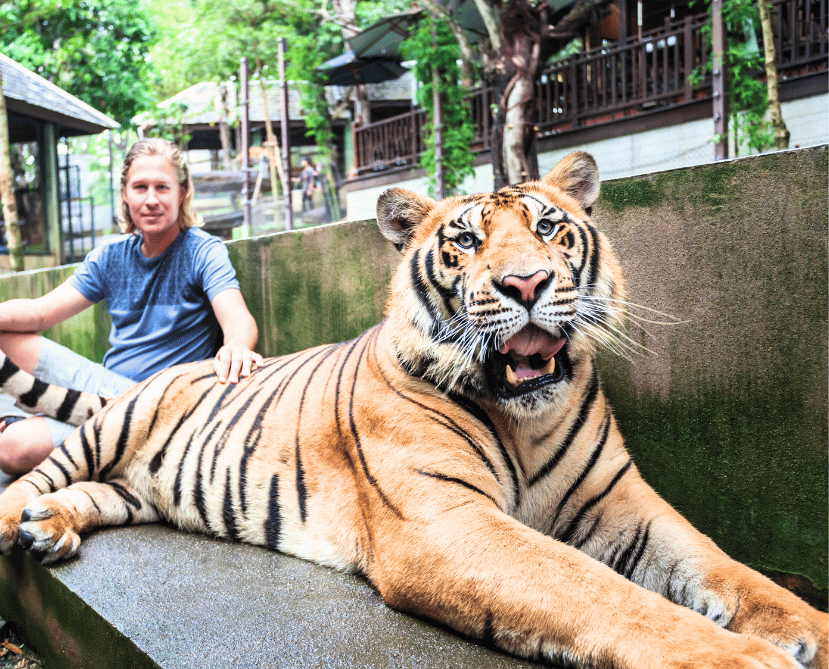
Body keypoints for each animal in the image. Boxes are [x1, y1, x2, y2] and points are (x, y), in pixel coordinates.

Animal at [0, 152, 825, 669]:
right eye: (464, 239)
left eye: (548, 227)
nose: (526, 283)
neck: (526, 419)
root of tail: (160, 372)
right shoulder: (446, 520)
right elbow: (602, 593)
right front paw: (744, 659)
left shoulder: (622, 506)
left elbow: (733, 574)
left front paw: (805, 630)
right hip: (110, 427)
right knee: (39, 474)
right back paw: (21, 520)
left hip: (143, 487)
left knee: (93, 493)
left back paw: (53, 529)